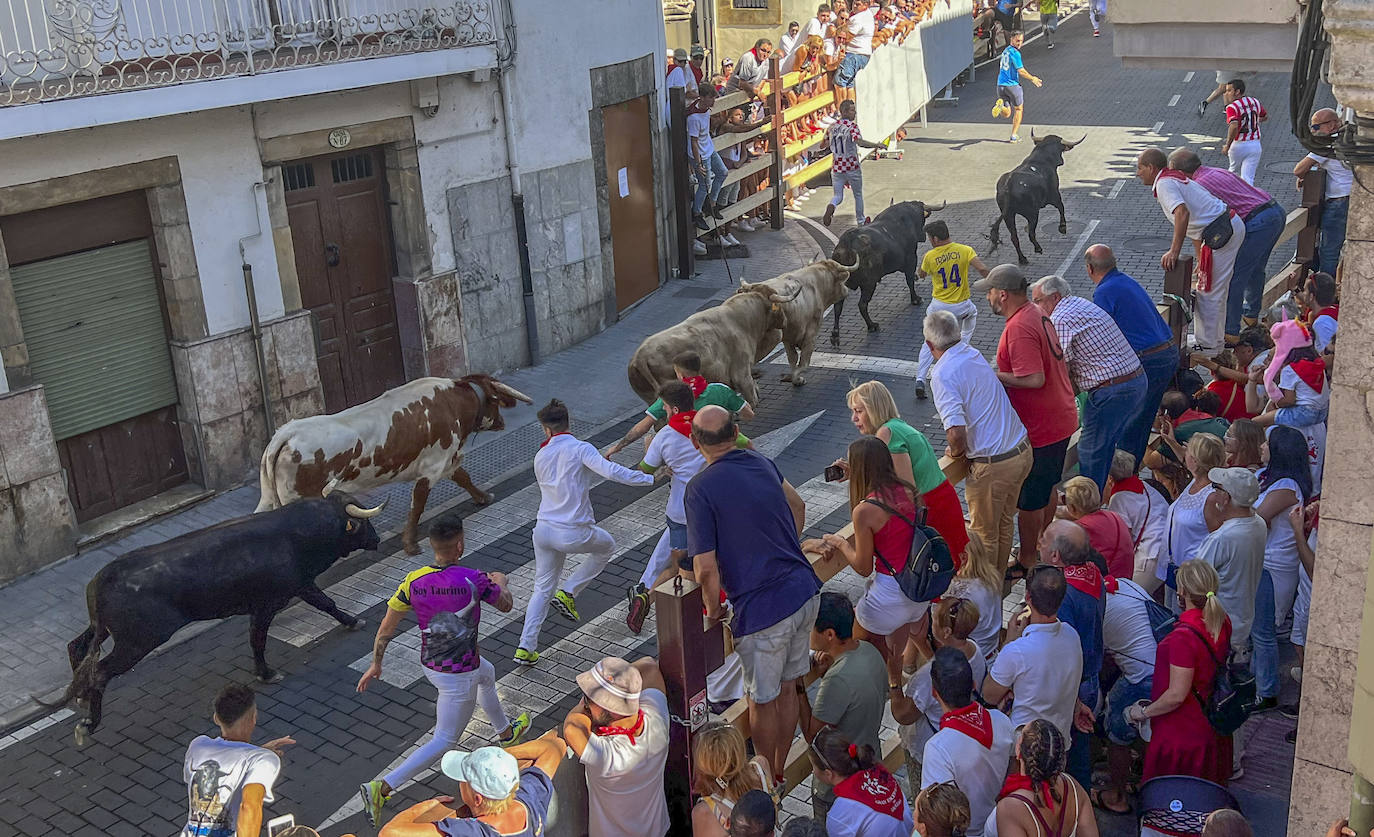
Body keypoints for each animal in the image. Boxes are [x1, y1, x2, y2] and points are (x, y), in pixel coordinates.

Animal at [42, 492, 384, 742]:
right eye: (361, 523)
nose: (378, 539)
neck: (295, 534)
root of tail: (103, 578)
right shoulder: (272, 601)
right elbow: (269, 634)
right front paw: (266, 672)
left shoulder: (290, 591)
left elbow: (322, 607)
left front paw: (350, 621)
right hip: (136, 642)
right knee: (99, 671)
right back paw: (89, 722)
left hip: (103, 630)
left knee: (77, 647)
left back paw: (81, 700)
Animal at [255, 376, 533, 552]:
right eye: (496, 401)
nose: (502, 422)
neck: (451, 401)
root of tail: (287, 433)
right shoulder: (432, 467)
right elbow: (417, 505)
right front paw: (410, 544)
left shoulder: (446, 461)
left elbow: (464, 478)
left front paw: (483, 497)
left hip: (270, 499)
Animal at [626, 284, 791, 406]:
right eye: (778, 305)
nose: (785, 321)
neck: (742, 320)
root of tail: (640, 356)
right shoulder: (742, 372)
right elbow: (752, 399)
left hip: (650, 398)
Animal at [824, 197, 945, 340]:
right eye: (923, 218)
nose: (923, 236)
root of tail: (847, 242)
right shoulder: (911, 258)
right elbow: (909, 280)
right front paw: (916, 299)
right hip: (869, 284)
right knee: (862, 304)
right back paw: (872, 325)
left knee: (838, 306)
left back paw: (835, 335)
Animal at [989, 131, 1082, 263]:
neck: (1040, 159)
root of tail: (1009, 185)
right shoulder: (1054, 194)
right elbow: (1061, 207)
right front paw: (1062, 227)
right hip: (1032, 214)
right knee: (1031, 234)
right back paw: (1038, 248)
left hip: (1008, 216)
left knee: (1014, 237)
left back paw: (1022, 259)